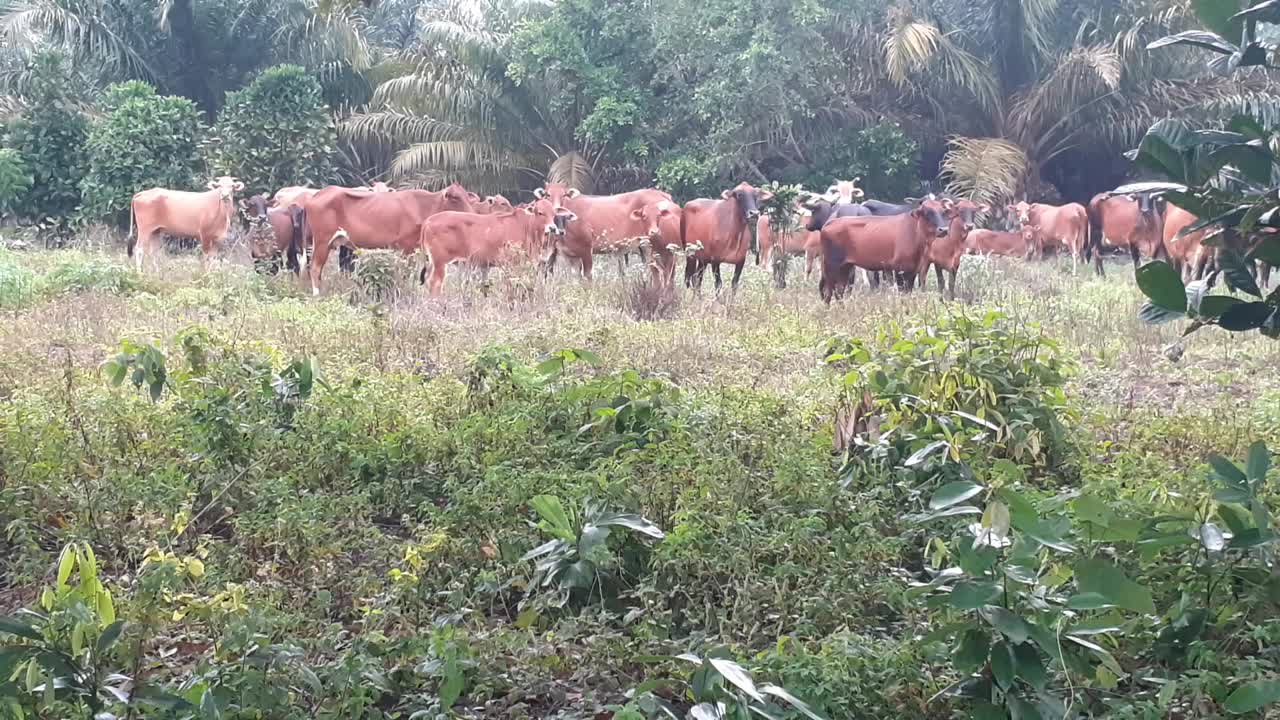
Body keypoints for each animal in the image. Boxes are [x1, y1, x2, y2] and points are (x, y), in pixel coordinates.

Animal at [302, 180, 478, 293]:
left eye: (466, 196)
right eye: (455, 197)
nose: (472, 213)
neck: (424, 207)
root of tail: (317, 195)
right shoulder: (406, 248)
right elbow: (406, 274)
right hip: (322, 241)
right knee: (314, 267)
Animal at [419, 197, 576, 293]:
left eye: (554, 214)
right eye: (540, 212)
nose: (552, 228)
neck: (526, 227)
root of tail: (428, 220)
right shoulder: (512, 264)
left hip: (433, 262)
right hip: (440, 262)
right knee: (435, 283)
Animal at [819, 194, 952, 301]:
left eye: (943, 211)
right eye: (927, 212)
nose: (944, 230)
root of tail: (830, 223)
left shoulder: (913, 270)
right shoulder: (899, 269)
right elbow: (902, 293)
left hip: (845, 267)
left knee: (839, 291)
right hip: (831, 266)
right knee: (828, 291)